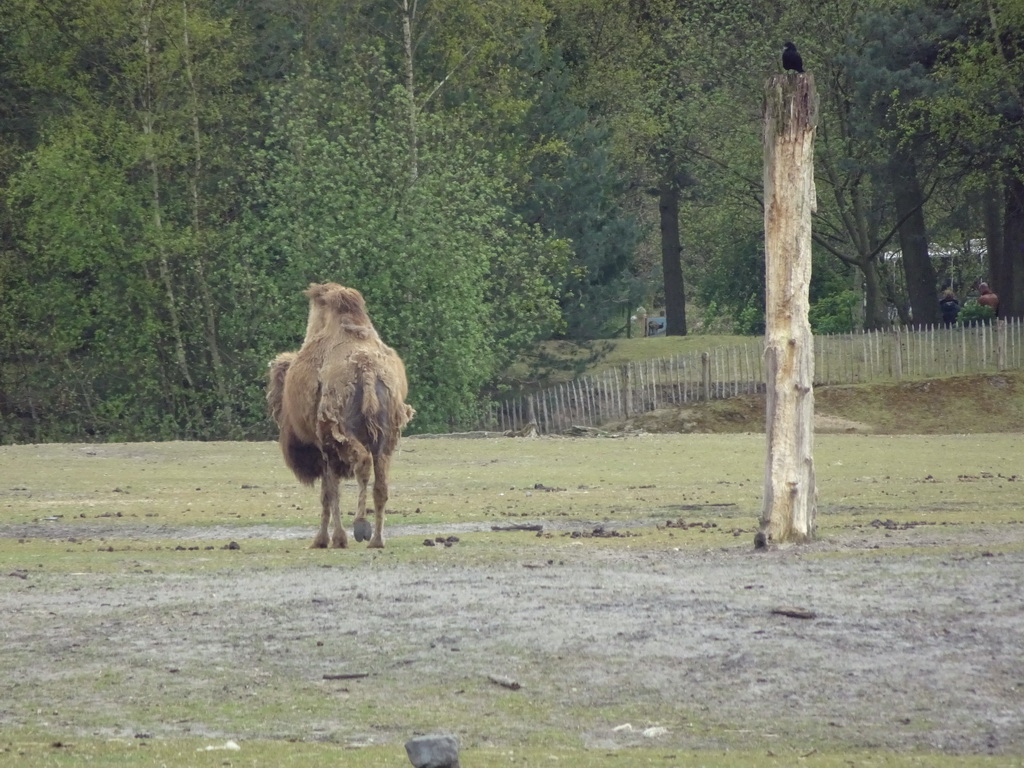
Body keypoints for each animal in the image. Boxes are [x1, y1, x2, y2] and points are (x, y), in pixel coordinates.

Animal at [270, 282, 417, 548]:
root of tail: (367, 368)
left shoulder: (324, 450)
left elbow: (329, 494)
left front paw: (327, 539)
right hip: (385, 440)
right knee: (381, 486)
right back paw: (376, 540)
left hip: (342, 436)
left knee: (362, 465)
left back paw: (360, 528)